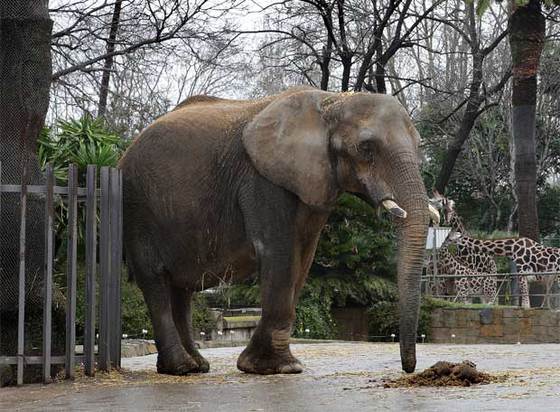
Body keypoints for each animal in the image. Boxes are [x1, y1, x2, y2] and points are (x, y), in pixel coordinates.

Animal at [120, 87, 440, 376]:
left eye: (420, 145)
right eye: (366, 148)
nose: (408, 369)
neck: (333, 101)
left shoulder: (314, 184)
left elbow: (303, 259)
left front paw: (260, 364)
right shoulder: (263, 180)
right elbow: (280, 254)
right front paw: (280, 368)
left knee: (180, 289)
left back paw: (197, 366)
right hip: (138, 209)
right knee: (155, 281)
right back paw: (182, 368)